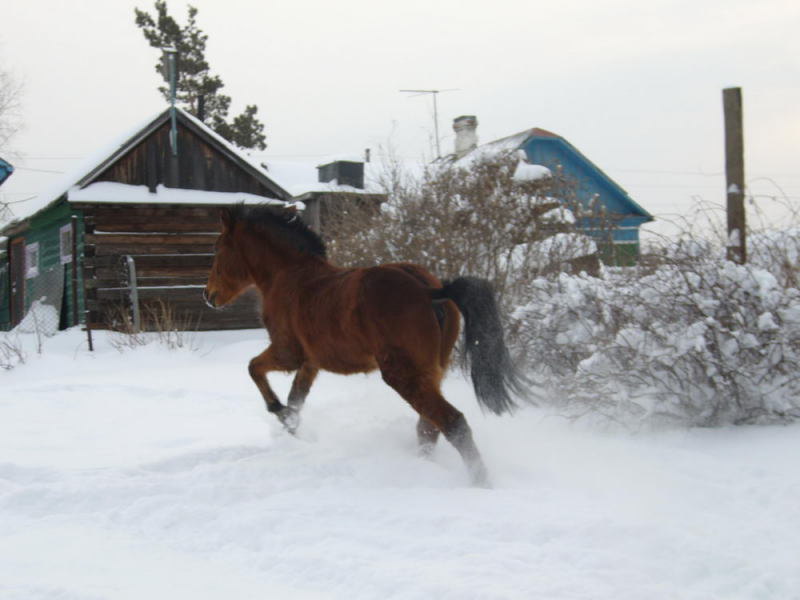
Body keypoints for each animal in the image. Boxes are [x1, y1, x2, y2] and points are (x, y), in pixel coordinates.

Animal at [203, 204, 528, 486]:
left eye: (218, 248)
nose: (208, 295)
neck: (290, 277)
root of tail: (429, 291)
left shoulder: (288, 353)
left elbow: (254, 369)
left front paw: (279, 412)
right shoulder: (311, 362)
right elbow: (296, 398)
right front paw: (293, 427)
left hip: (403, 374)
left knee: (452, 422)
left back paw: (480, 483)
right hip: (431, 372)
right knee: (428, 427)